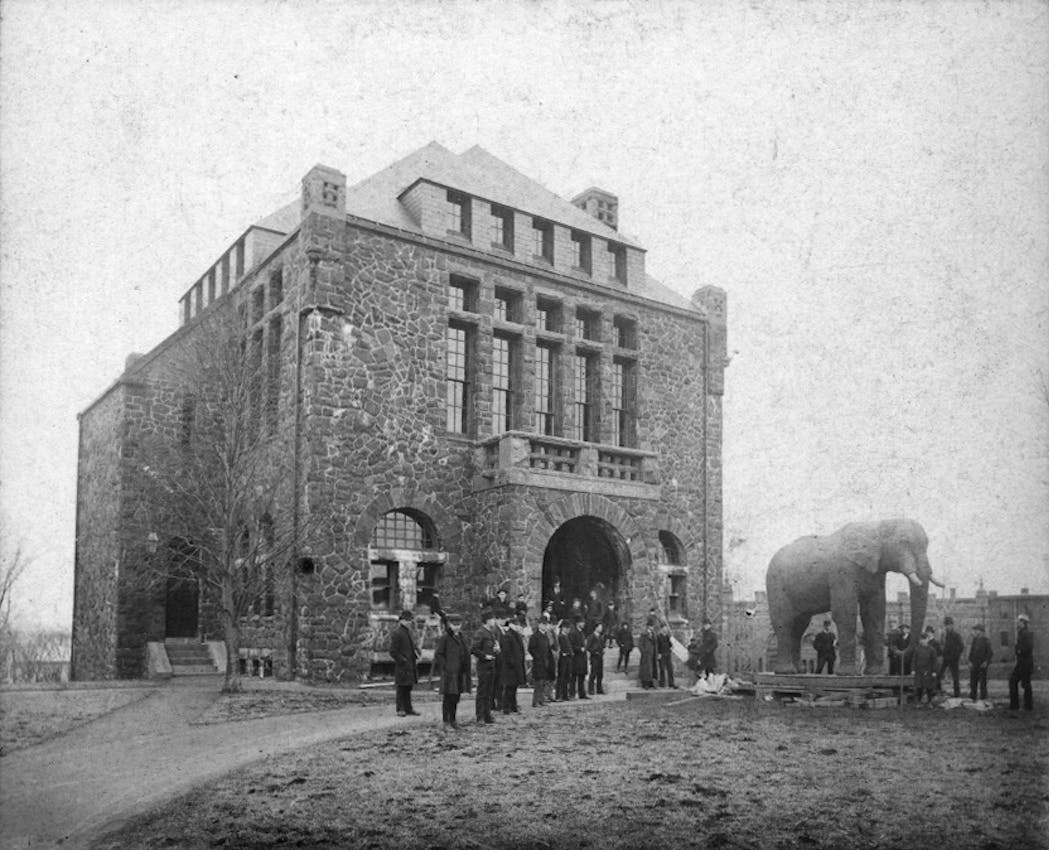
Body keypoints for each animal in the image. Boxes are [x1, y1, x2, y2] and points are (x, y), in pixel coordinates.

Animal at [767, 516, 948, 675]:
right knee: (784, 622)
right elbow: (845, 612)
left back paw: (798, 671)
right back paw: (786, 672)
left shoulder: (876, 573)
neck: (877, 526)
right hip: (775, 585)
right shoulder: (842, 572)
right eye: (904, 542)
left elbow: (874, 612)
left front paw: (875, 674)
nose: (894, 643)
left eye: (927, 544)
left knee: (799, 626)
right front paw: (848, 674)